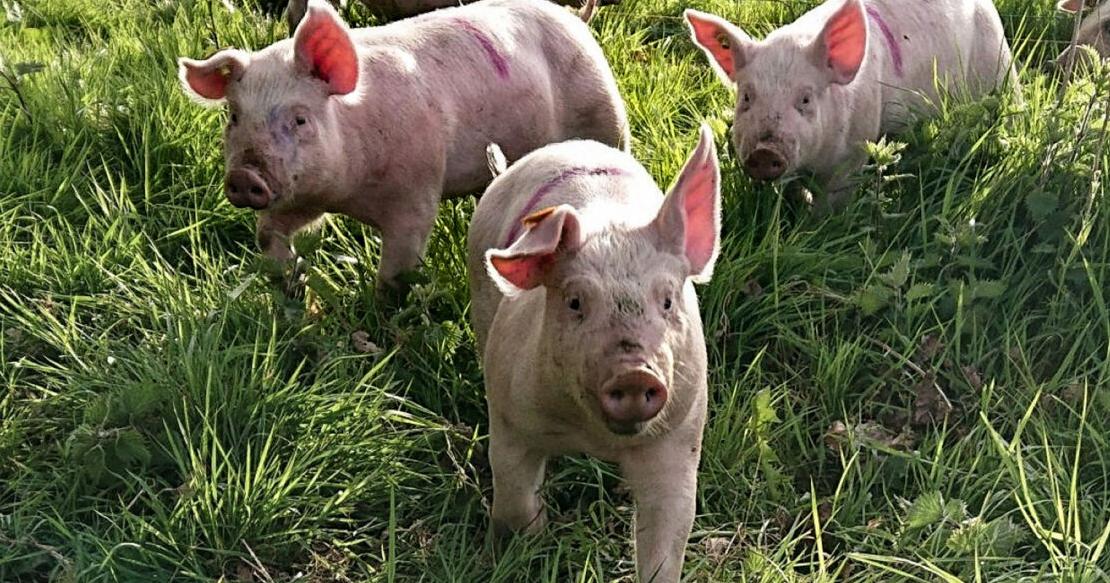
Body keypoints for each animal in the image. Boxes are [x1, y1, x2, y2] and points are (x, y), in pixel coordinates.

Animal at [177, 0, 629, 295]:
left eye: (300, 119)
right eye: (234, 116)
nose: (244, 176)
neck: (349, 193)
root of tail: (573, 19)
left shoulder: (416, 193)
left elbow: (397, 271)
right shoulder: (303, 192)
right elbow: (269, 232)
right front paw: (290, 284)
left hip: (605, 117)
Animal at [467, 125, 721, 583]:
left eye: (667, 301)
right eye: (575, 302)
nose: (634, 372)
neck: (592, 438)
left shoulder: (679, 435)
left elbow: (668, 530)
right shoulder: (509, 414)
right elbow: (513, 493)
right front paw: (523, 547)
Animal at [685, 0, 1016, 208]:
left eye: (805, 98)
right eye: (747, 97)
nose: (765, 152)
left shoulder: (855, 150)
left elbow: (833, 201)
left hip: (999, 65)